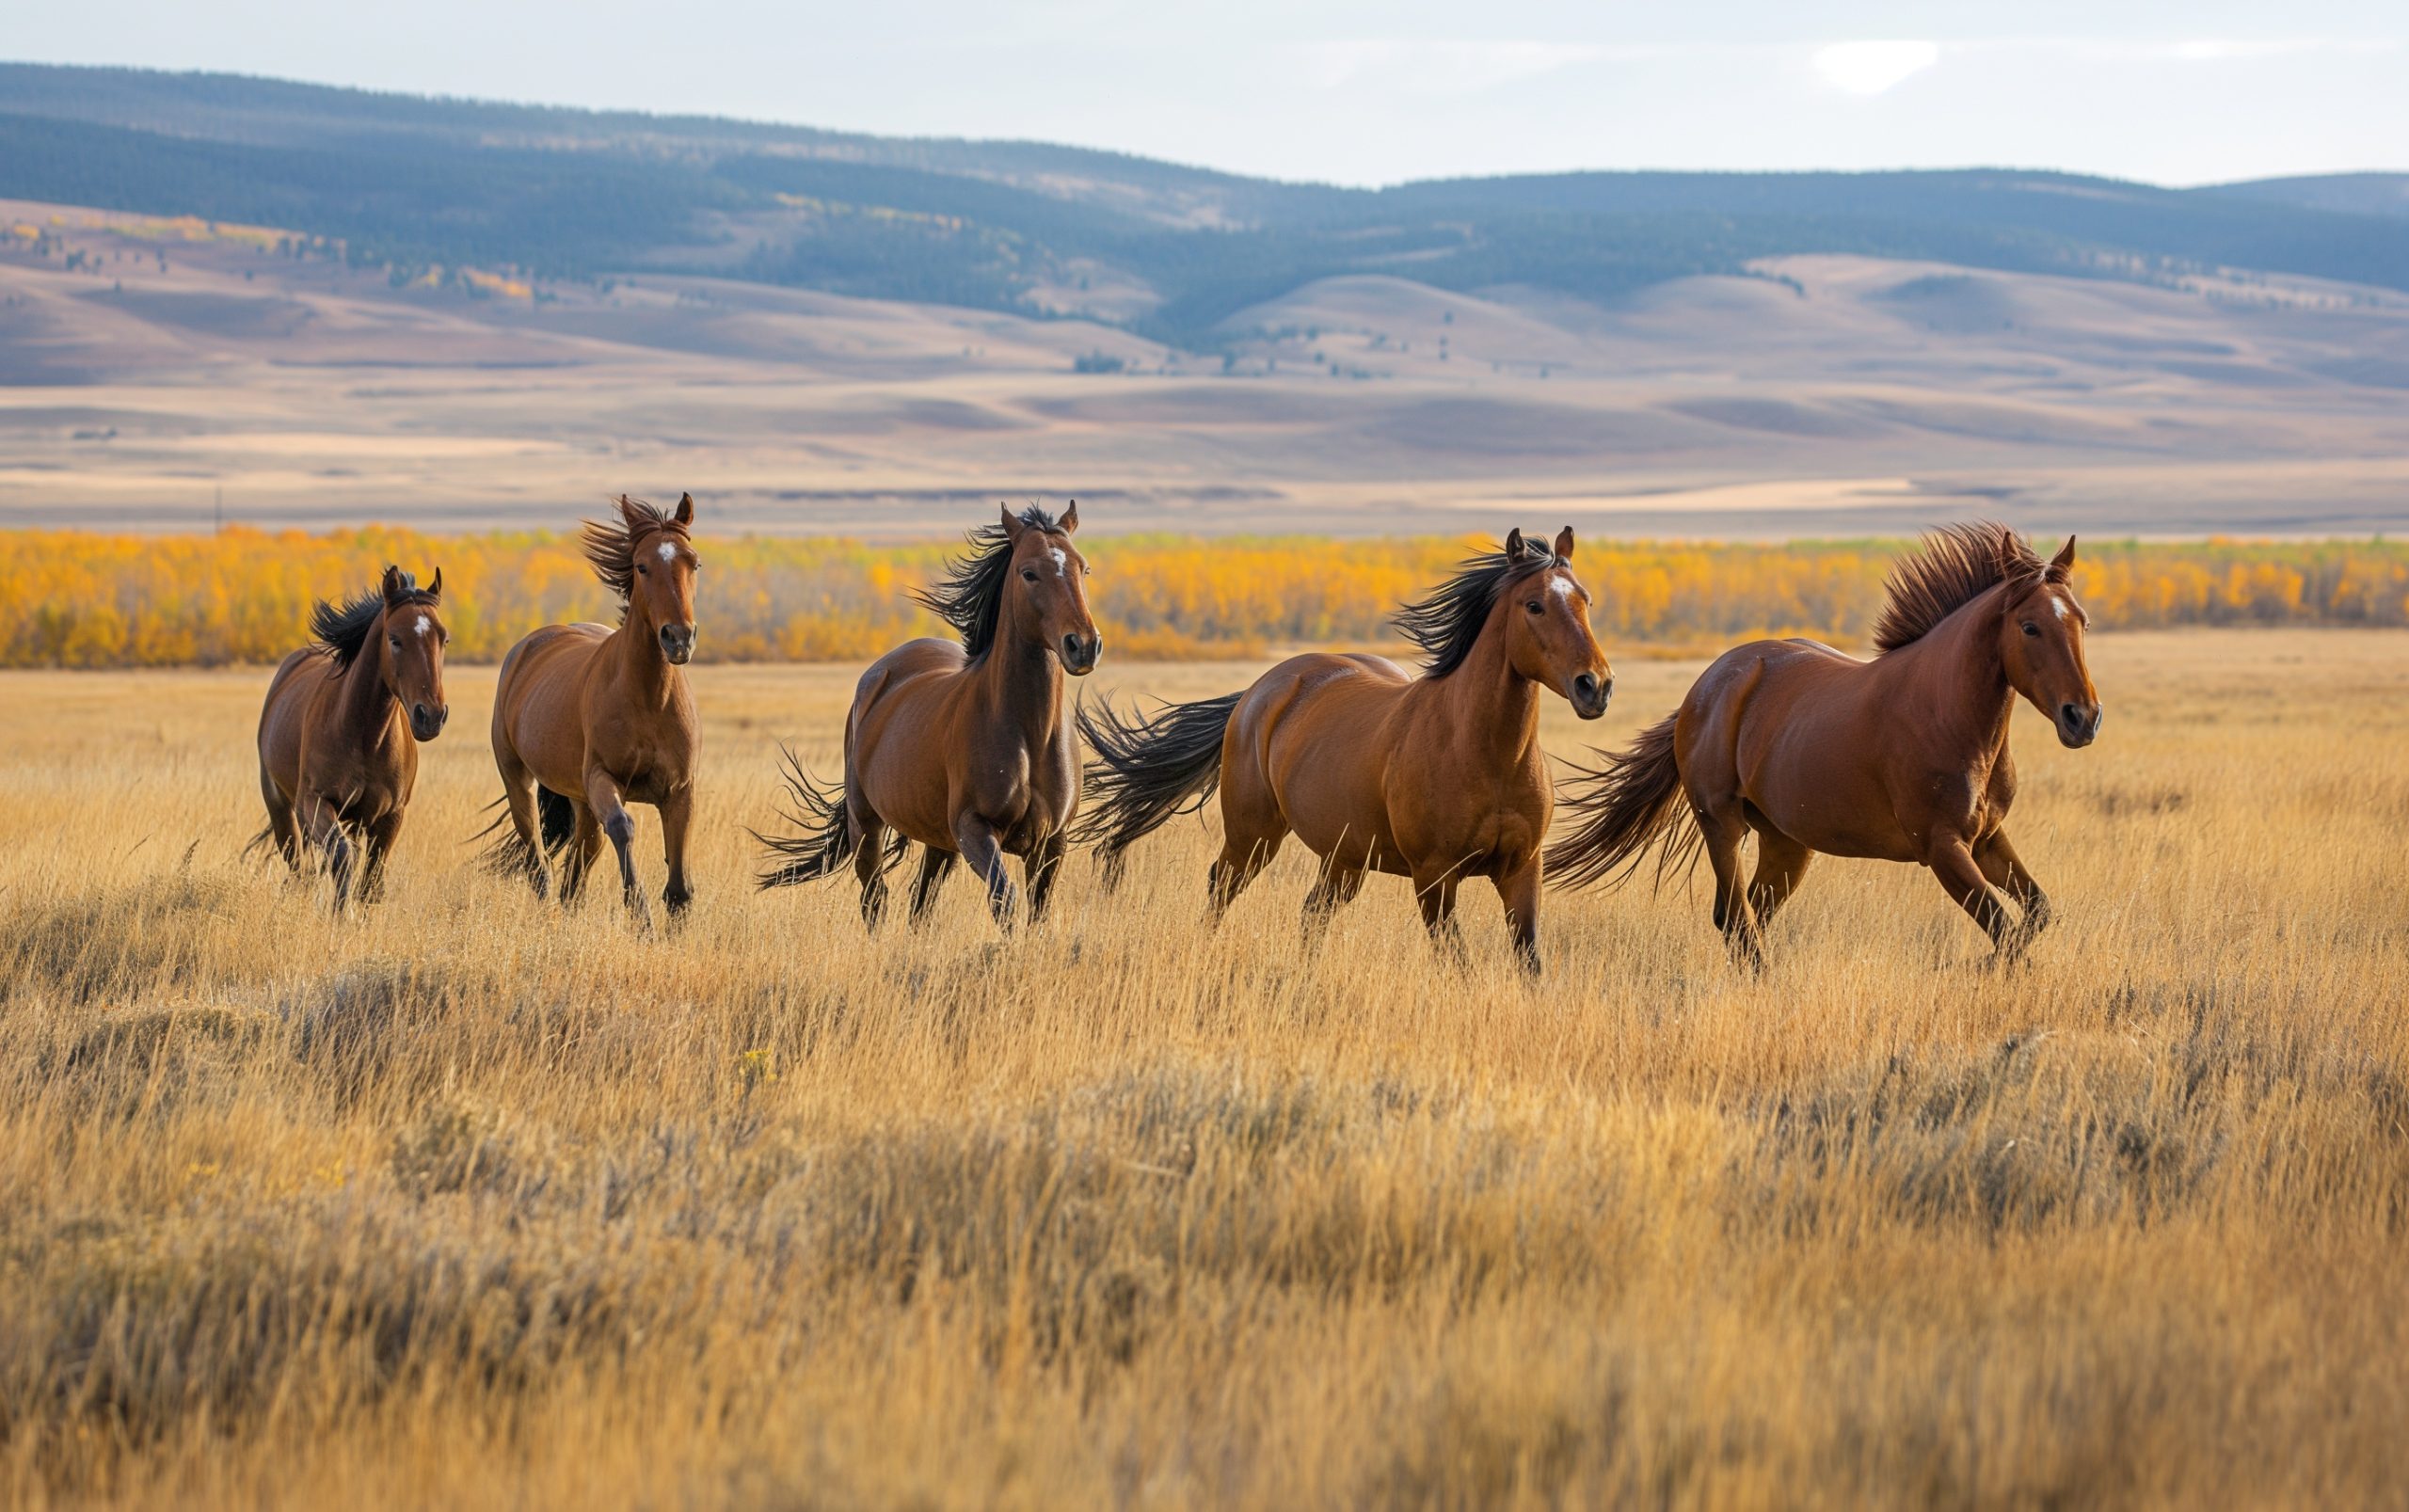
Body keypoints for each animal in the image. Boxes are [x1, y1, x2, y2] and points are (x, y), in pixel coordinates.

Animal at [256, 561, 453, 905]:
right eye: (395, 639)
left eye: (444, 639)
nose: (430, 716)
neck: (364, 738)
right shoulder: (315, 802)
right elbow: (342, 858)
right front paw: (339, 911)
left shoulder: (390, 816)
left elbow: (371, 882)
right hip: (282, 808)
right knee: (299, 867)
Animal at [484, 493, 703, 919]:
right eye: (641, 565)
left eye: (694, 563)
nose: (678, 638)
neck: (649, 700)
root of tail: (527, 647)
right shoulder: (603, 778)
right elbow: (623, 827)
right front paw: (640, 915)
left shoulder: (680, 791)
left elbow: (679, 884)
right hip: (520, 782)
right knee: (539, 863)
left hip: (581, 803)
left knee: (577, 871)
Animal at [751, 502, 1103, 929]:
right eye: (1029, 572)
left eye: (1084, 569)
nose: (1083, 645)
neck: (1029, 735)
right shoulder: (974, 829)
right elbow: (1004, 899)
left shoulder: (1052, 841)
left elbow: (1038, 911)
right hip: (866, 824)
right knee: (875, 897)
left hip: (939, 841)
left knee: (920, 901)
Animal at [1078, 529, 1609, 982]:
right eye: (1534, 605)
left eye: (1585, 600)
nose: (1596, 686)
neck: (1486, 755)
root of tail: (1259, 690)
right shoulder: (1434, 877)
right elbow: (1457, 963)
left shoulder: (1522, 870)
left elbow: (1529, 961)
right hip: (1255, 836)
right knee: (1222, 886)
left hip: (1344, 857)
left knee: (1313, 911)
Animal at [1551, 519, 2100, 963]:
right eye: (2029, 627)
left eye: (2083, 622)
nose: (2084, 718)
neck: (1948, 716)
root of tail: (1704, 688)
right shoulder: (1942, 847)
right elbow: (2005, 932)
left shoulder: (1986, 838)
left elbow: (2036, 915)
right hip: (1722, 826)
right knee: (1741, 924)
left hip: (1786, 843)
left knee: (1743, 920)